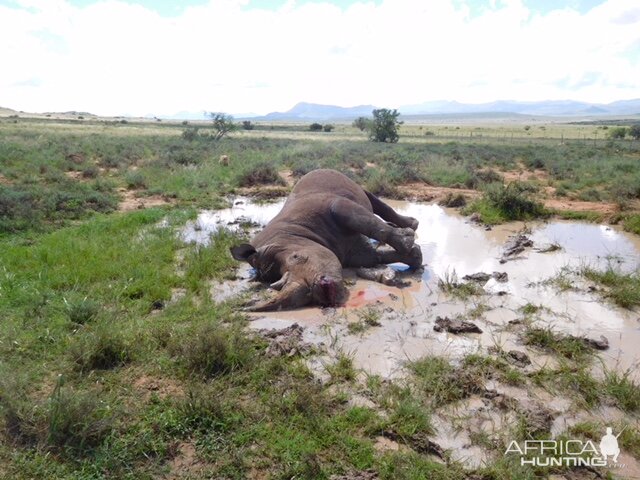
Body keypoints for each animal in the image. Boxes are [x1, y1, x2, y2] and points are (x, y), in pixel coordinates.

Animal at [231, 169, 424, 312]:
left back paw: (411, 225)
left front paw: (407, 242)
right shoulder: (351, 253)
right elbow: (376, 255)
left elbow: (367, 223)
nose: (316, 290)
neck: (289, 235)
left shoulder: (334, 205)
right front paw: (415, 256)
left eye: (297, 257)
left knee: (370, 200)